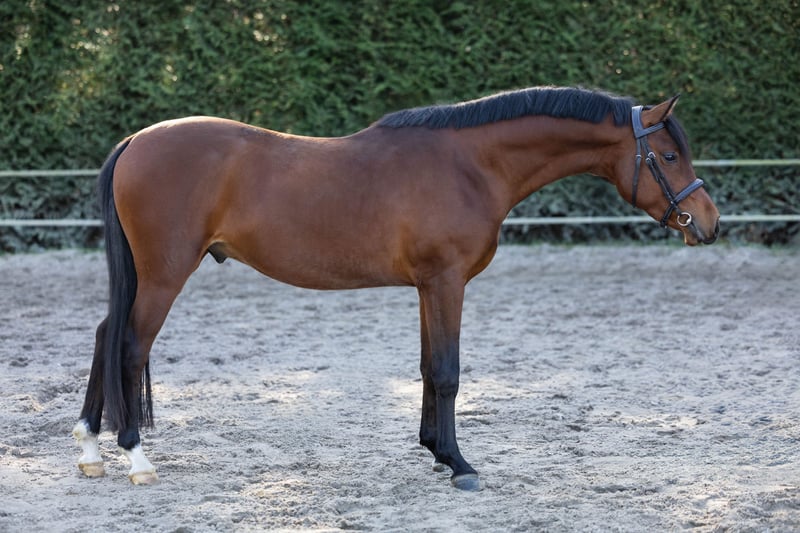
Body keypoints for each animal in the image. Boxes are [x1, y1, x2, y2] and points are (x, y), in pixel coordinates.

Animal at [73, 86, 720, 491]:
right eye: (667, 155)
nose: (709, 225)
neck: (469, 164)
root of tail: (136, 141)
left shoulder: (427, 287)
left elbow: (429, 367)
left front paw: (435, 451)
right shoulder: (446, 282)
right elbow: (449, 372)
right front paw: (460, 464)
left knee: (104, 335)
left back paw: (88, 449)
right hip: (164, 275)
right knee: (129, 346)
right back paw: (134, 457)